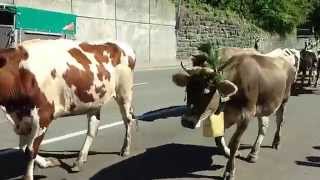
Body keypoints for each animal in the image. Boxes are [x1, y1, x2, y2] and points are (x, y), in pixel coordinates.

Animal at [0, 38, 136, 179]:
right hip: (94, 100)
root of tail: (119, 43)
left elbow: (30, 150)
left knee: (128, 119)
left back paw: (125, 149)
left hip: (124, 91)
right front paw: (47, 162)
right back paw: (80, 161)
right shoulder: (21, 119)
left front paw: (29, 176)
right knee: (93, 129)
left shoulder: (43, 115)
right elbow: (23, 147)